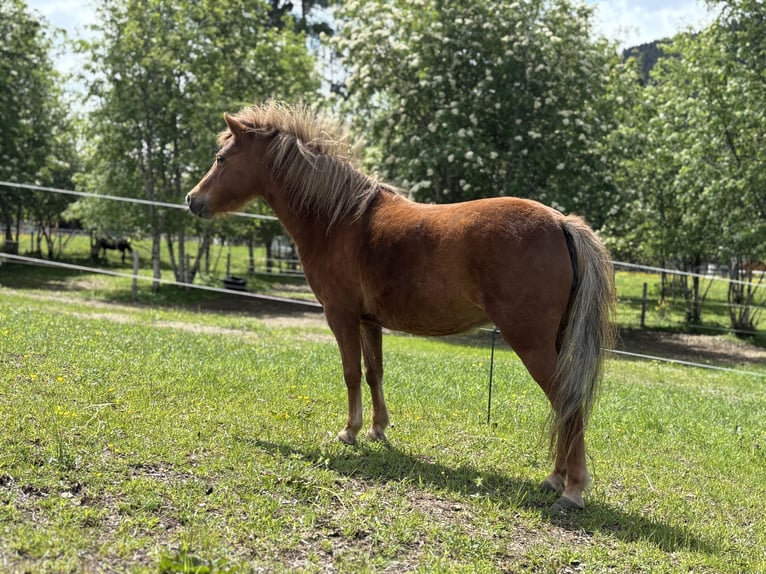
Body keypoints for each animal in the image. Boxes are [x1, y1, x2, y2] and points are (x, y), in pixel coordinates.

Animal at [186, 102, 616, 512]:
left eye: (221, 158)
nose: (192, 200)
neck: (338, 218)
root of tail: (561, 222)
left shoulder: (340, 315)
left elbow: (351, 373)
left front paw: (349, 431)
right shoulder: (369, 321)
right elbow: (374, 372)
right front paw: (377, 429)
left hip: (531, 343)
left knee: (566, 402)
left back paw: (572, 490)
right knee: (565, 405)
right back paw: (555, 477)